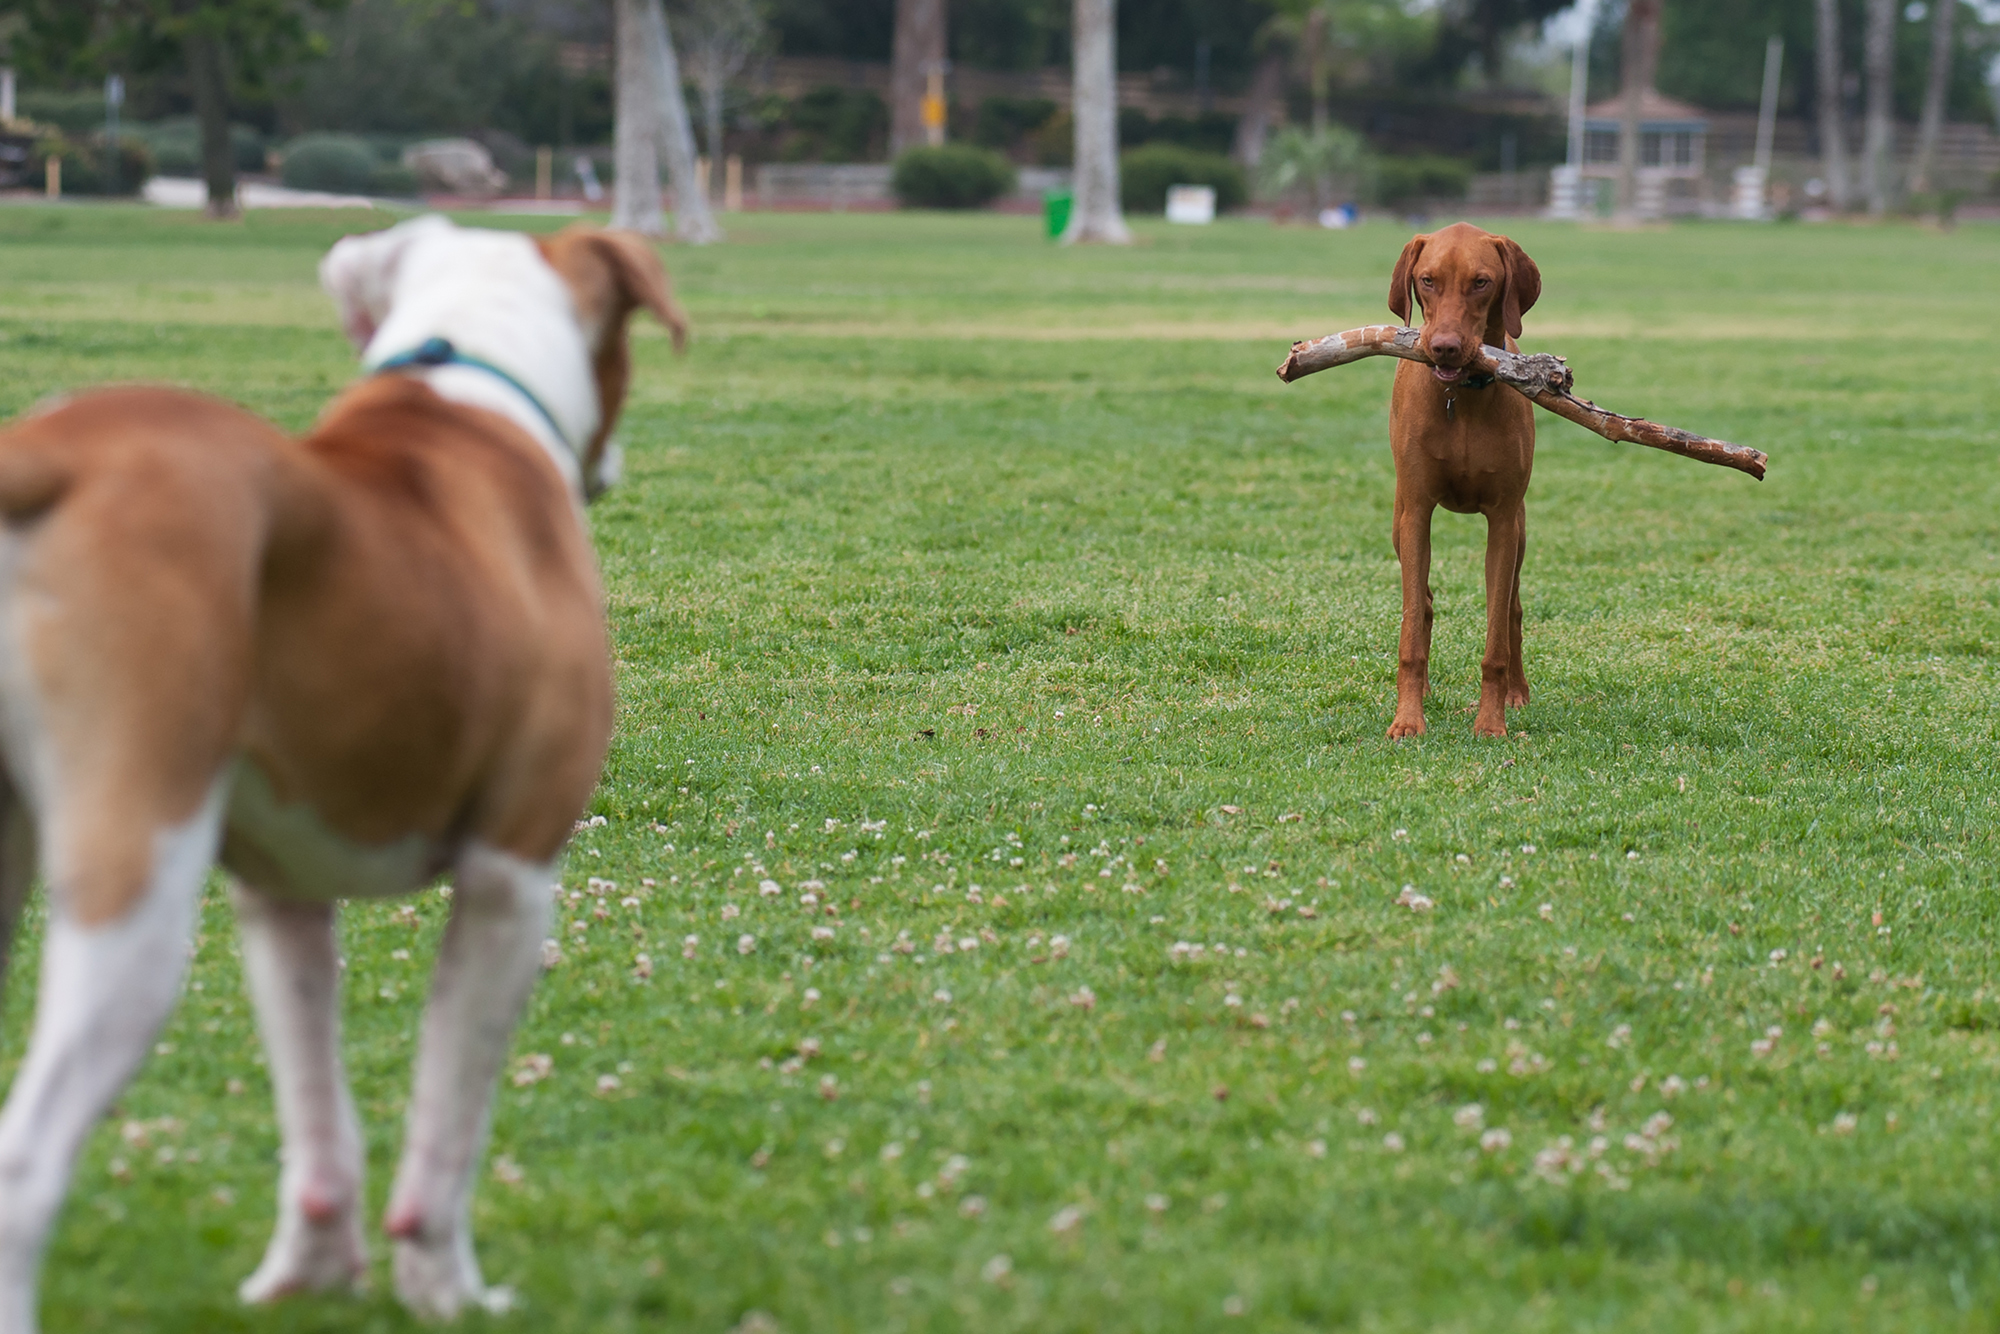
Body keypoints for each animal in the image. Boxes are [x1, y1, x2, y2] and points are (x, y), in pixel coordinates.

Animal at [0, 214, 692, 1328]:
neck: (463, 376)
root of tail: (48, 453)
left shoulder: (280, 898)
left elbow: (317, 1115)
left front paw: (308, 1273)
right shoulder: (509, 882)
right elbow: (448, 1122)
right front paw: (443, 1287)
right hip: (135, 892)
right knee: (27, 1161)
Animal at [1384, 220, 1536, 740]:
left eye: (1481, 282)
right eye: (1427, 280)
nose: (1444, 348)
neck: (1462, 398)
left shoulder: (1504, 519)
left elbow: (1496, 635)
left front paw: (1491, 722)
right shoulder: (1416, 511)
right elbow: (1412, 625)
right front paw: (1407, 720)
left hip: (1522, 530)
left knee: (1512, 610)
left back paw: (1517, 692)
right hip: (1397, 522)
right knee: (1423, 601)